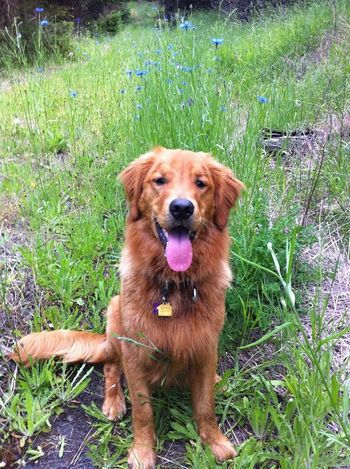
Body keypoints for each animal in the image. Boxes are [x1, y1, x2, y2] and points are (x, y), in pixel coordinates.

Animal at [11, 147, 246, 468]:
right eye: (159, 180)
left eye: (201, 183)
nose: (182, 208)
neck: (173, 285)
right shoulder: (136, 353)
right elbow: (143, 411)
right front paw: (142, 452)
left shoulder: (206, 345)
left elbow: (205, 405)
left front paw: (215, 442)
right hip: (114, 317)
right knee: (111, 367)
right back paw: (113, 402)